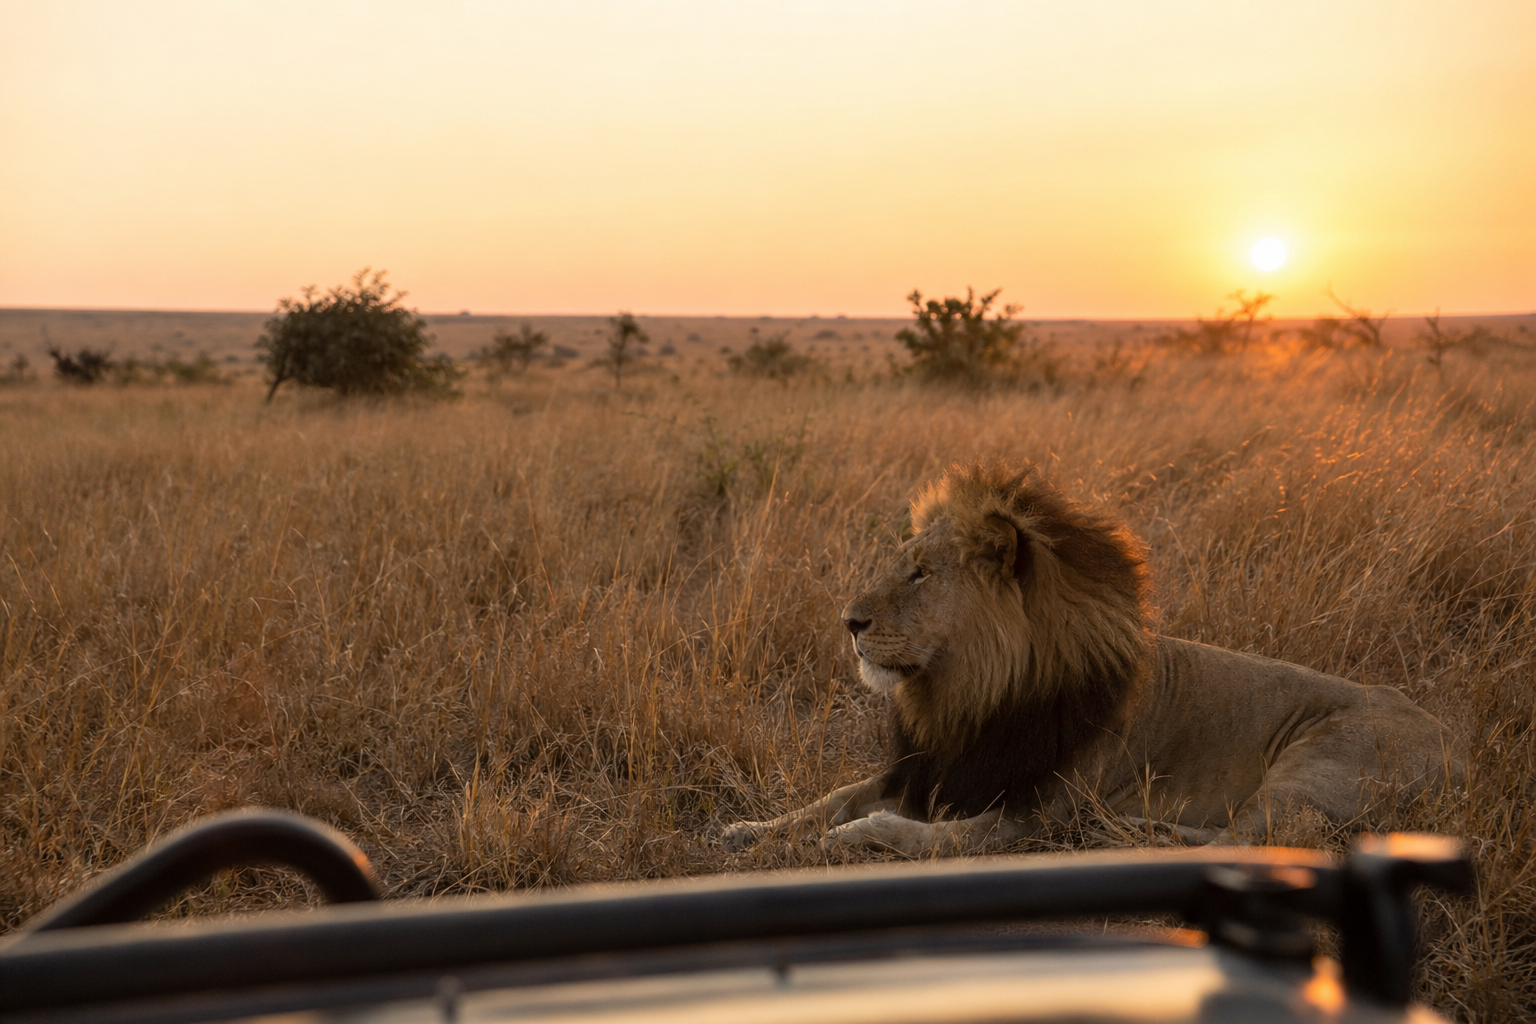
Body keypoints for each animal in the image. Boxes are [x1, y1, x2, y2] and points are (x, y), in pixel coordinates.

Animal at [722, 462, 1454, 856]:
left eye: (921, 574)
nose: (848, 623)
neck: (967, 695)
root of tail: (1458, 741)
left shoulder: (1032, 814)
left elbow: (940, 837)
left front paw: (855, 836)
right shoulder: (933, 765)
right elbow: (833, 795)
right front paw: (748, 828)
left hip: (1312, 764)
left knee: (1244, 841)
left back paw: (1122, 833)